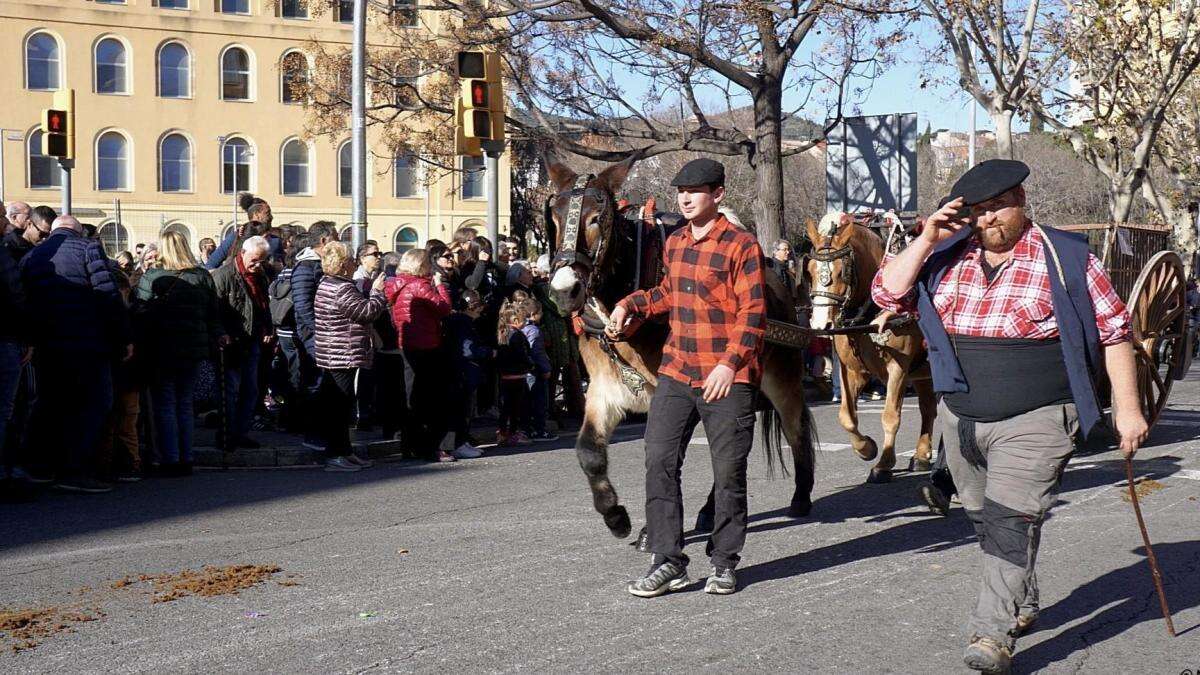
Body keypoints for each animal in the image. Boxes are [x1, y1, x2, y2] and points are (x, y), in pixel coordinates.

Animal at [549, 156, 820, 535]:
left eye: (596, 218)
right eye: (555, 217)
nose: (563, 291)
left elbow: (669, 454)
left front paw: (652, 528)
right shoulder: (605, 387)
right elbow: (589, 451)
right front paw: (616, 516)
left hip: (781, 376)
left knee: (794, 428)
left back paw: (801, 496)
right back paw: (710, 509)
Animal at [806, 212, 936, 480]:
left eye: (841, 272)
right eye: (810, 270)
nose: (821, 323)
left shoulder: (898, 369)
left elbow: (890, 416)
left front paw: (884, 463)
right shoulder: (852, 370)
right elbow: (846, 416)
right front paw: (866, 448)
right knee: (928, 408)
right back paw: (921, 455)